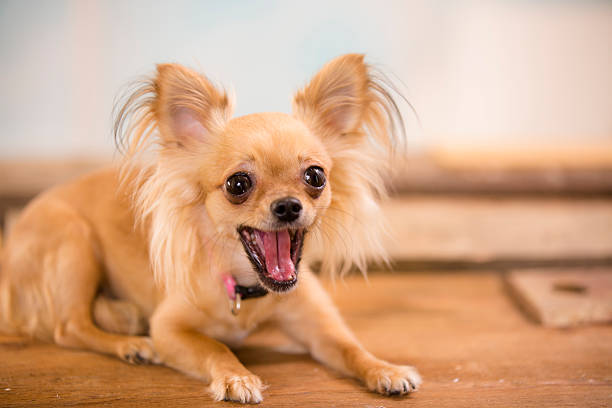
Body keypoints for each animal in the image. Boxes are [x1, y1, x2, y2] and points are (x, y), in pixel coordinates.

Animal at [0, 53, 420, 402]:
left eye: (315, 176)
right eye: (238, 184)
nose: (287, 205)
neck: (246, 288)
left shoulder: (319, 326)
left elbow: (352, 347)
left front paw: (385, 369)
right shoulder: (169, 329)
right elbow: (215, 346)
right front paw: (236, 377)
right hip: (74, 240)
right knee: (68, 327)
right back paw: (130, 345)